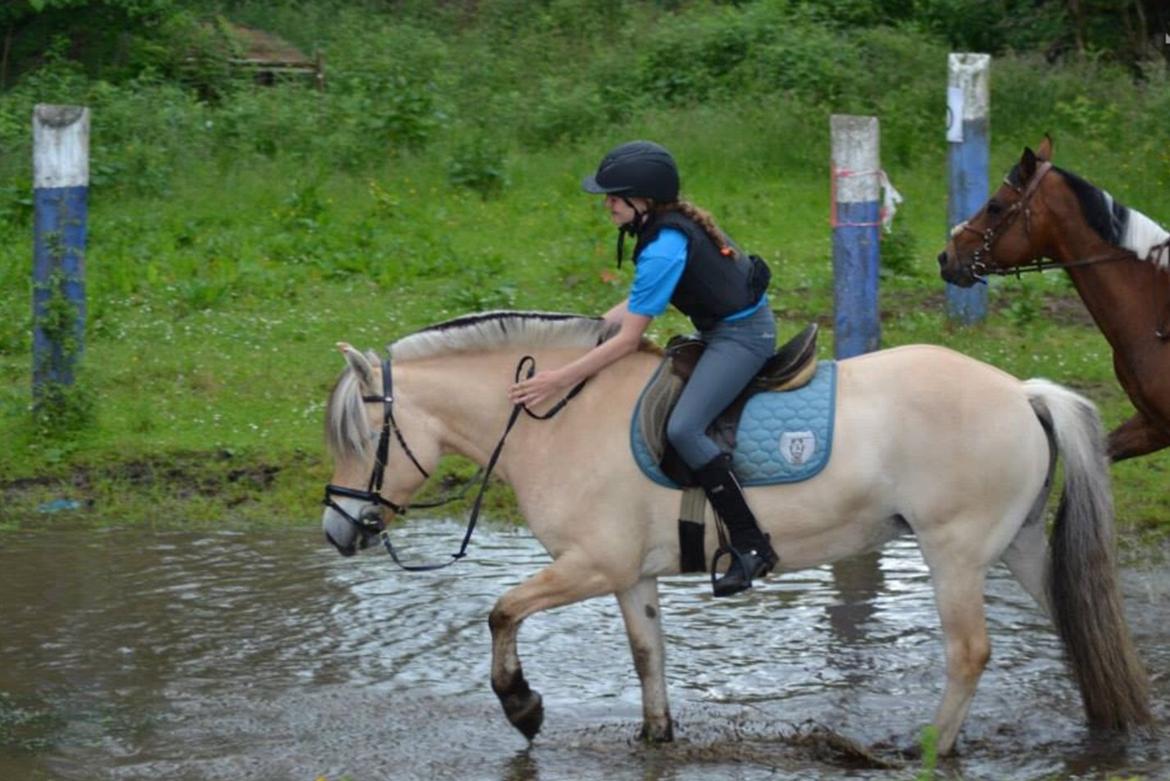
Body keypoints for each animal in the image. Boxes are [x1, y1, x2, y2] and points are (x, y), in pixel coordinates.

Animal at [322, 308, 1151, 757]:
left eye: (361, 437)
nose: (337, 531)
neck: (557, 415)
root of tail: (1020, 391)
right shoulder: (631, 574)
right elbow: (648, 653)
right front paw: (657, 734)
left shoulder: (591, 563)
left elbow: (500, 610)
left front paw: (521, 705)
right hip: (1014, 543)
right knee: (1076, 619)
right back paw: (1105, 717)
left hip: (953, 550)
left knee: (970, 651)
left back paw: (932, 745)